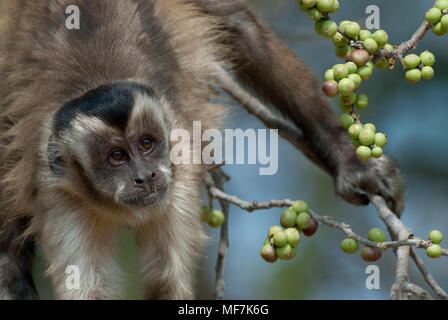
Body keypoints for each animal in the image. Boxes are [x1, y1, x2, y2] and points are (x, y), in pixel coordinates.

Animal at [0, 0, 406, 300]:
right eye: (116, 156)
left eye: (147, 144)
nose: (145, 175)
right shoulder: (58, 195)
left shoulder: (178, 171)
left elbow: (167, 282)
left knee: (238, 23)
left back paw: (346, 157)